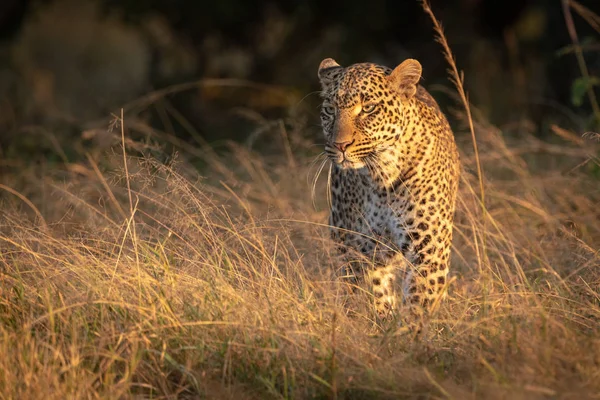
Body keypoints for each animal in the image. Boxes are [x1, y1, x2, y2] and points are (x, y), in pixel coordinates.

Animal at [316, 56, 462, 320]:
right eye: (330, 110)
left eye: (368, 108)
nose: (340, 145)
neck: (381, 177)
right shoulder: (359, 249)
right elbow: (373, 296)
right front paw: (379, 322)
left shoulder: (428, 248)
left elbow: (418, 302)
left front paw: (409, 328)